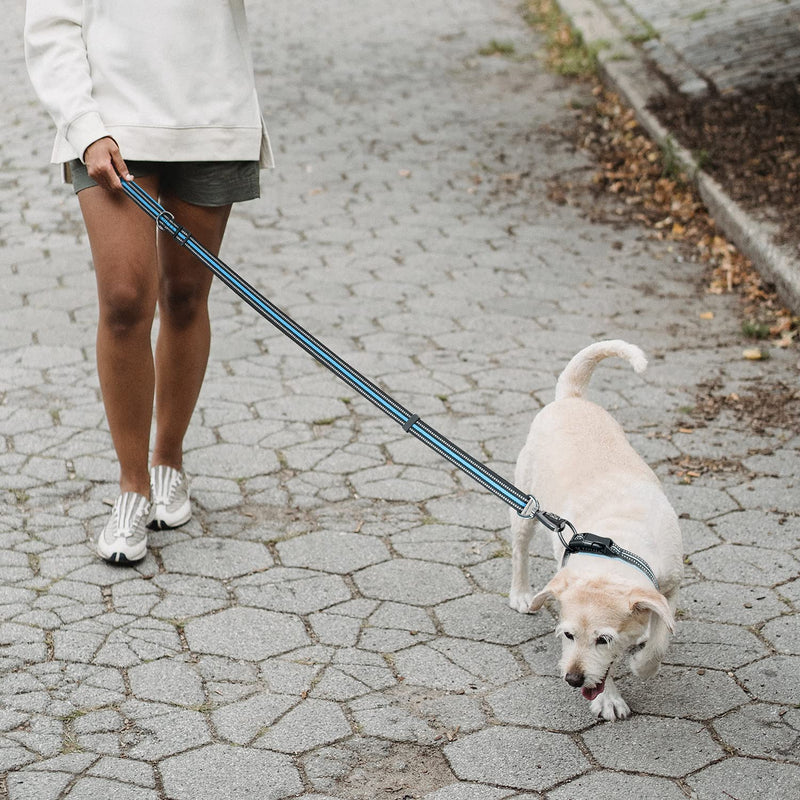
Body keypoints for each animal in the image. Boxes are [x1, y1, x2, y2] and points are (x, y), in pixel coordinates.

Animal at [510, 340, 684, 720]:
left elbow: (660, 638)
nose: (573, 679)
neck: (619, 542)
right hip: (526, 504)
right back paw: (521, 594)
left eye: (603, 640)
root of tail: (571, 397)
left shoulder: (670, 586)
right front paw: (608, 698)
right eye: (567, 636)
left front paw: (643, 662)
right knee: (519, 549)